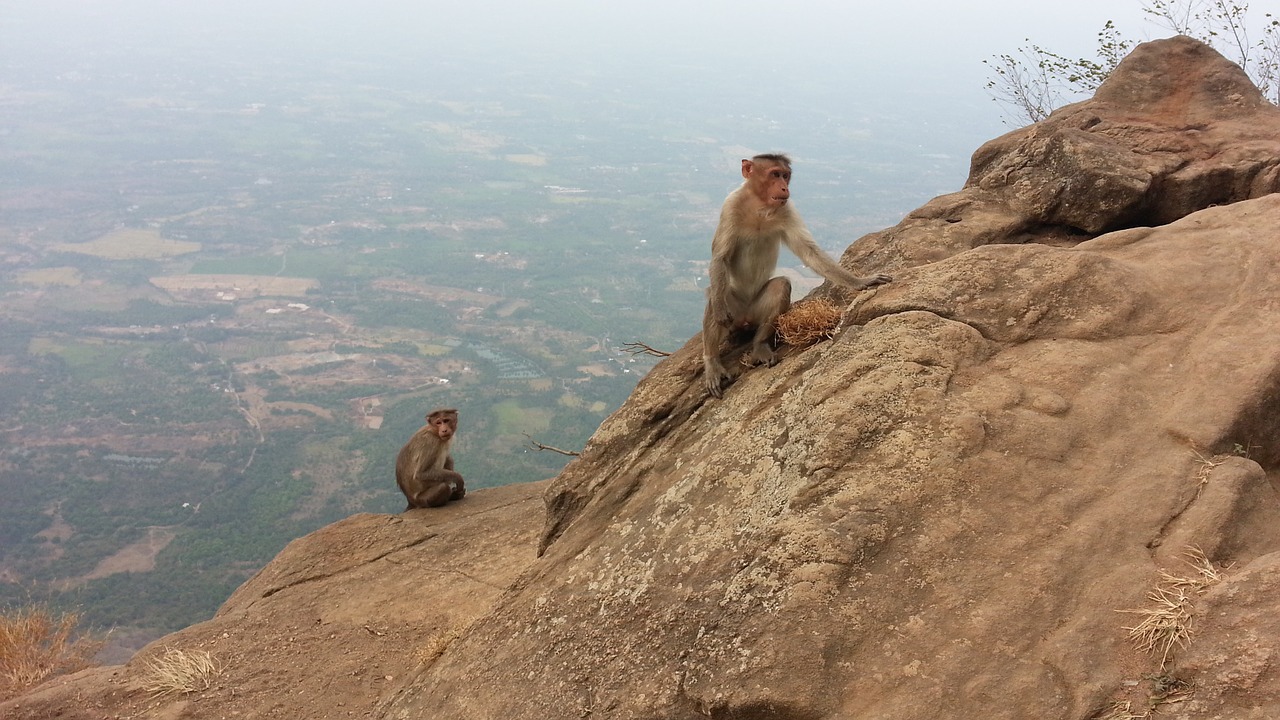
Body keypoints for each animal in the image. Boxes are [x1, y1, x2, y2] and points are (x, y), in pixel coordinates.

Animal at [701, 152, 890, 397]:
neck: (759, 205)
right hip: (735, 311)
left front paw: (860, 281)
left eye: (785, 175)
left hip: (754, 313)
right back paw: (712, 361)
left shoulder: (787, 208)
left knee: (780, 286)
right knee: (717, 294)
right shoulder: (730, 205)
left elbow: (809, 252)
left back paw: (760, 345)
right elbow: (720, 259)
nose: (784, 187)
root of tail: (744, 319)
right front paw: (719, 312)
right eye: (775, 174)